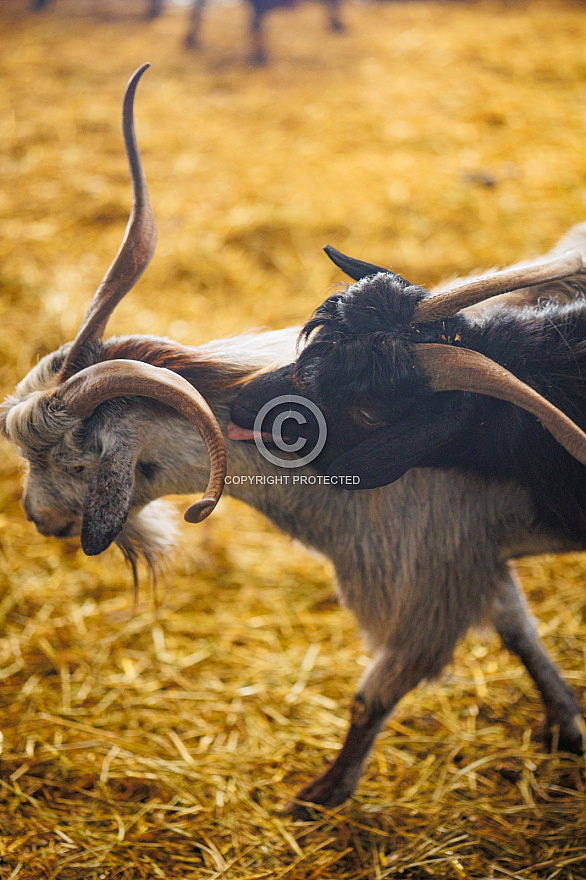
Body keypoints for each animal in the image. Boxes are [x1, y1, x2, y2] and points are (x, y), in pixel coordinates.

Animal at [2, 65, 580, 820]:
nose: (38, 519)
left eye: (73, 459)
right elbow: (520, 631)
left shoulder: (430, 579)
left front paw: (318, 796)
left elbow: (376, 692)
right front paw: (567, 723)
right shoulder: (474, 558)